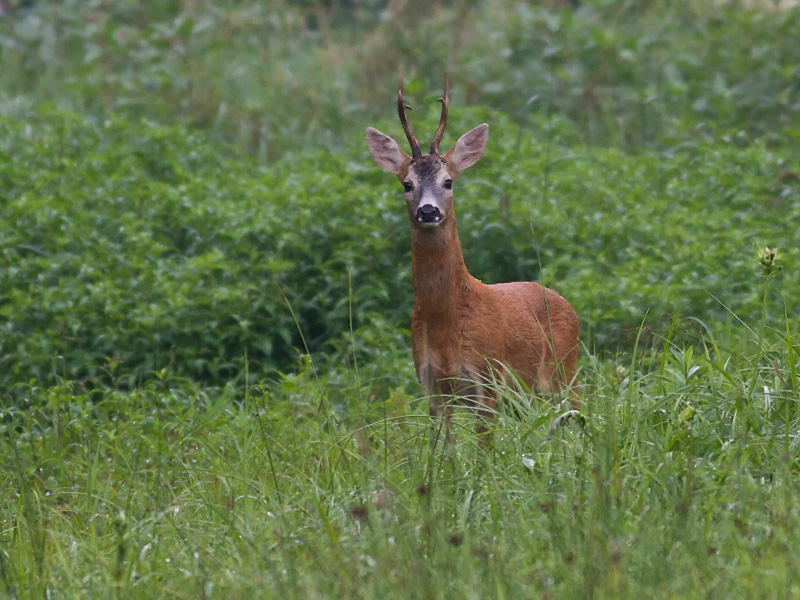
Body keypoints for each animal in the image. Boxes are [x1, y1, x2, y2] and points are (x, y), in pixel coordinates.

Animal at [366, 75, 580, 434]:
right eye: (407, 184)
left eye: (448, 181)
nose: (428, 211)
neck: (446, 323)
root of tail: (567, 304)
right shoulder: (431, 386)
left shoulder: (487, 379)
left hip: (564, 375)